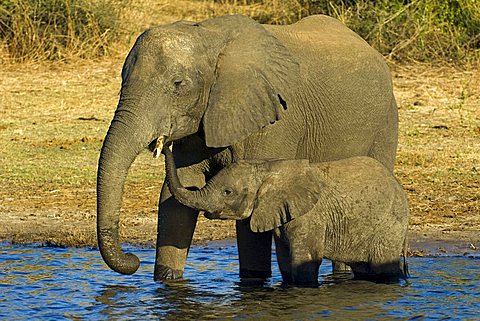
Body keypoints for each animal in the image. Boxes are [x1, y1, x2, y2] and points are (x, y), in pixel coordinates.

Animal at [164, 146, 408, 284]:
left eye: (227, 192)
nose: (163, 143)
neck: (268, 168)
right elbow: (285, 264)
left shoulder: (310, 216)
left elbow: (304, 264)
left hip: (390, 225)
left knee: (383, 267)